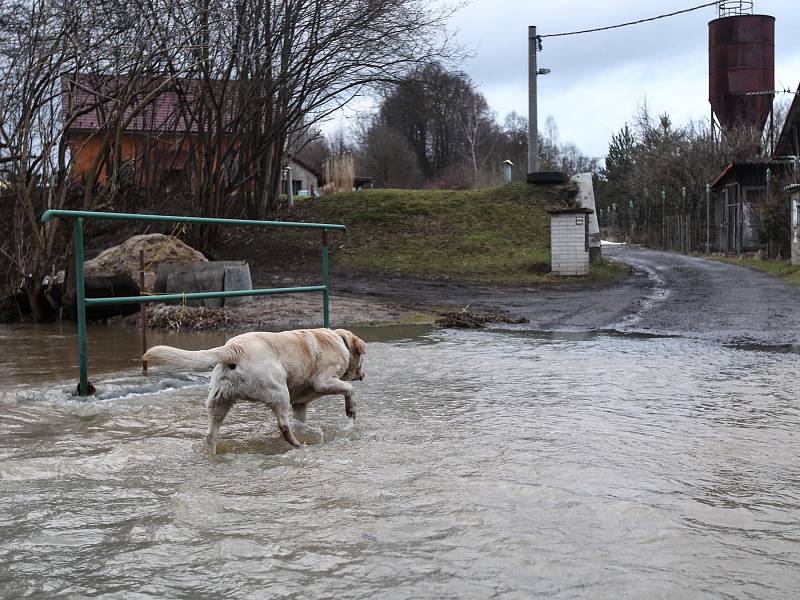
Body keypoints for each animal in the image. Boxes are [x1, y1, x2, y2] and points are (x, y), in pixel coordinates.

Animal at [143, 328, 366, 450]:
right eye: (362, 358)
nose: (363, 375)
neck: (340, 341)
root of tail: (234, 349)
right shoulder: (324, 382)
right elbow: (349, 389)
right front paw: (351, 411)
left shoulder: (300, 403)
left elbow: (301, 419)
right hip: (279, 390)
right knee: (284, 426)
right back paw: (297, 445)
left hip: (218, 401)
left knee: (210, 434)